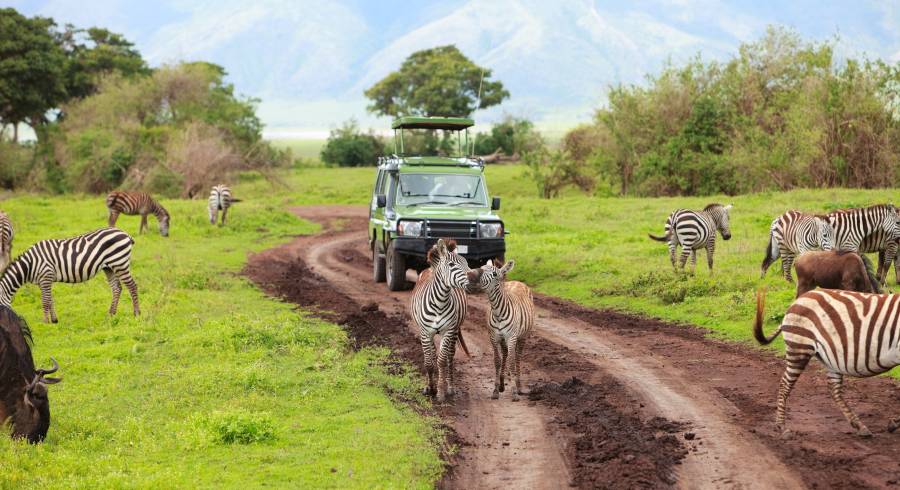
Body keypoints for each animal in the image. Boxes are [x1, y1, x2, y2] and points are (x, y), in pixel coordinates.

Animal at [0, 228, 140, 324]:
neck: (30, 264)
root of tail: (125, 233)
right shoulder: (44, 281)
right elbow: (50, 300)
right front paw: (54, 320)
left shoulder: (46, 276)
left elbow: (45, 301)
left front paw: (45, 322)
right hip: (109, 267)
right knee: (117, 288)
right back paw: (111, 314)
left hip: (119, 262)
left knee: (132, 286)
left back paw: (136, 313)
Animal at [412, 239, 472, 404]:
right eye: (451, 265)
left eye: (466, 263)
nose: (474, 278)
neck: (439, 302)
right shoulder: (425, 332)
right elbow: (429, 362)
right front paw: (430, 388)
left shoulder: (448, 331)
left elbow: (442, 361)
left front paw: (440, 392)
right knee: (432, 355)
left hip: (455, 330)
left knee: (450, 356)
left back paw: (450, 387)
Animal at [472, 258, 536, 400]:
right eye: (481, 268)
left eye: (494, 274)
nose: (472, 277)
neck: (498, 312)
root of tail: (517, 281)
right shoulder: (494, 337)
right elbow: (497, 361)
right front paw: (495, 390)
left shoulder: (511, 337)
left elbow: (512, 362)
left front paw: (514, 392)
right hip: (503, 339)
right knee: (505, 354)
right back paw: (502, 384)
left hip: (523, 336)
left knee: (517, 357)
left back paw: (519, 386)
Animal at [756, 288, 900, 436]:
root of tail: (798, 300)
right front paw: (894, 423)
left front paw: (894, 423)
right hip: (799, 348)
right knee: (785, 384)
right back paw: (782, 427)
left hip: (830, 359)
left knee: (833, 389)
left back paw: (860, 426)